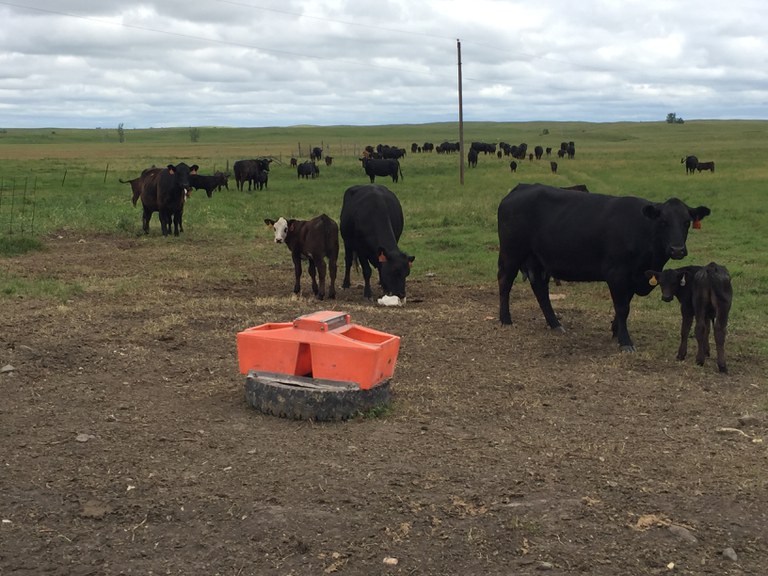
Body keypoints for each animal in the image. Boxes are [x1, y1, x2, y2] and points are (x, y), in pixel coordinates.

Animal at [496, 182, 712, 352]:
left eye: (686, 222)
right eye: (663, 221)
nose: (677, 250)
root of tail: (521, 187)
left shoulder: (632, 277)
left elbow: (625, 305)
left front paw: (616, 331)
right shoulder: (617, 274)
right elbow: (622, 307)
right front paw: (625, 341)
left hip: (538, 260)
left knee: (540, 289)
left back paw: (555, 324)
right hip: (511, 253)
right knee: (505, 281)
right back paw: (506, 319)